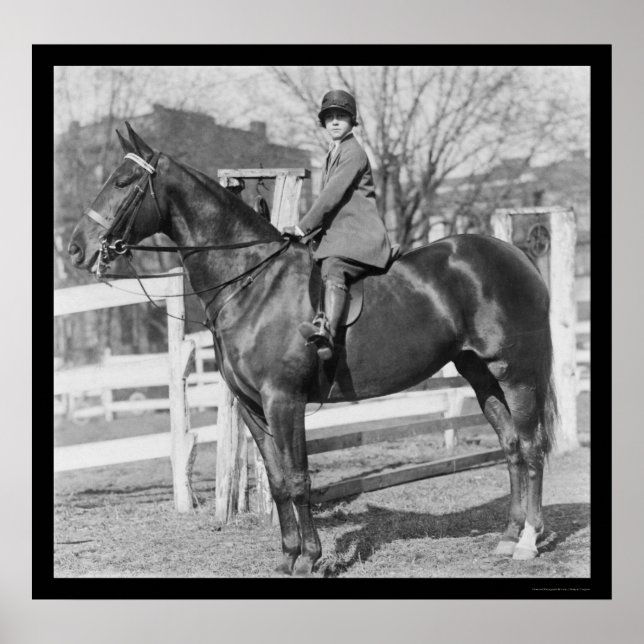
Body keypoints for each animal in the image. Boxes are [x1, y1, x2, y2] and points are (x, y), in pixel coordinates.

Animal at [67, 123, 557, 577]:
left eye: (123, 182)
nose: (76, 249)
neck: (252, 280)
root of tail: (517, 254)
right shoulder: (253, 406)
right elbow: (278, 481)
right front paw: (288, 557)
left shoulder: (284, 400)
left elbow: (299, 479)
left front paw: (310, 560)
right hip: (480, 375)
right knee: (511, 446)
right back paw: (507, 536)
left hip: (517, 375)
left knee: (531, 447)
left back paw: (528, 541)